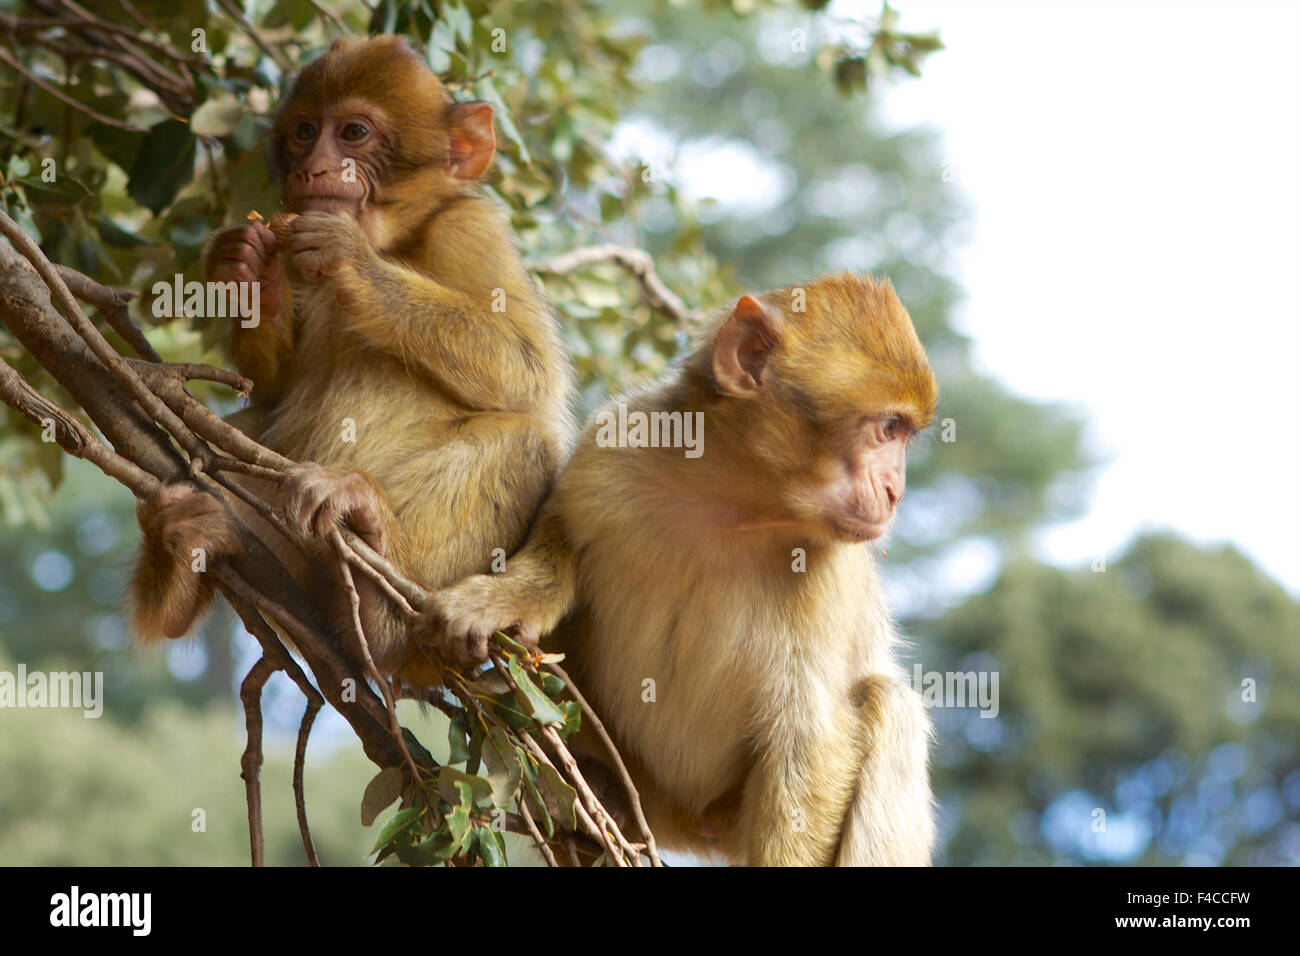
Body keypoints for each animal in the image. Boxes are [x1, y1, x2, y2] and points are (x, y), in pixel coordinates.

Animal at [131, 33, 574, 686]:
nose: (313, 167)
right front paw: (245, 271)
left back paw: (376, 578)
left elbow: (529, 373)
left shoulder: (471, 230)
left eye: (354, 133)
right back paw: (183, 561)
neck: (397, 238)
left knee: (523, 440)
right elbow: (269, 388)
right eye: (305, 131)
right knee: (251, 427)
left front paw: (351, 260)